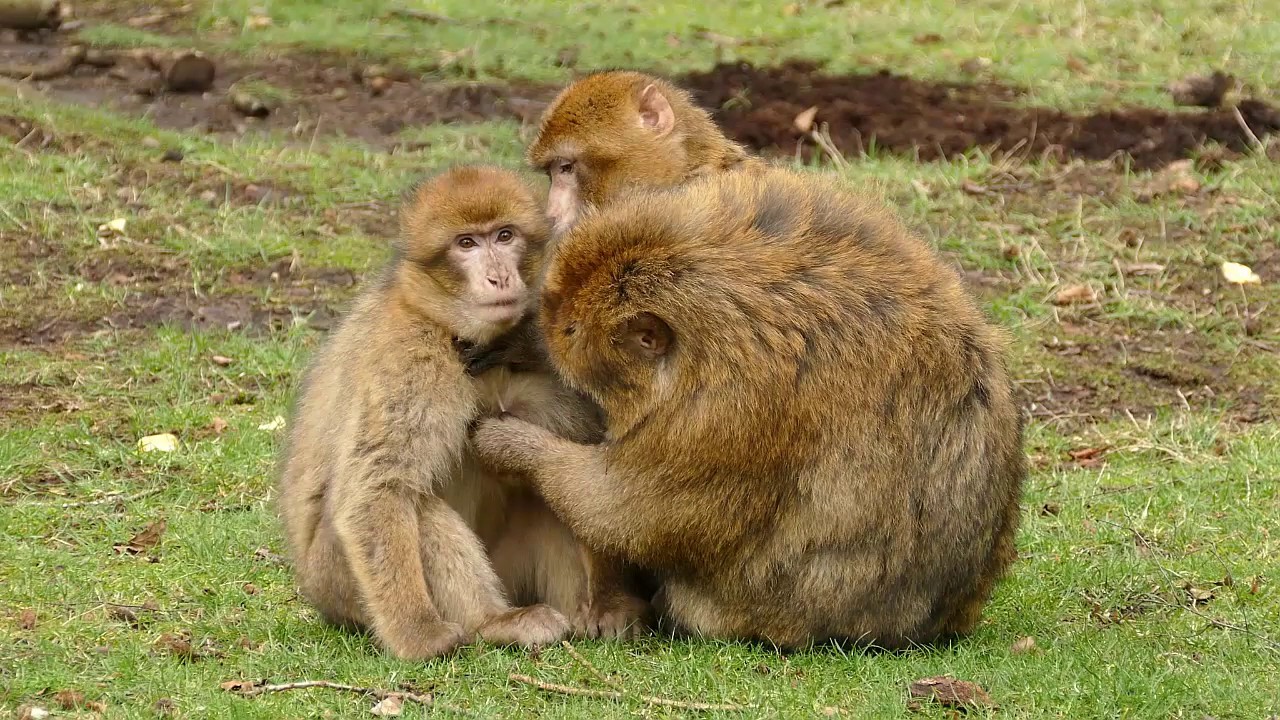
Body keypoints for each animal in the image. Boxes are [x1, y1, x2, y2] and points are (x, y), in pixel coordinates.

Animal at [276, 165, 648, 661]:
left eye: (505, 236)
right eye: (466, 244)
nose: (498, 277)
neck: (459, 336)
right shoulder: (411, 358)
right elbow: (376, 490)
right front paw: (417, 634)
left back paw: (593, 608)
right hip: (337, 580)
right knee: (416, 504)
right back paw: (494, 623)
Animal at [471, 166, 1026, 650]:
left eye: (570, 331)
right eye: (556, 315)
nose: (548, 332)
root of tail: (934, 622)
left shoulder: (721, 414)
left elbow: (628, 510)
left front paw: (513, 444)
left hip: (765, 611)